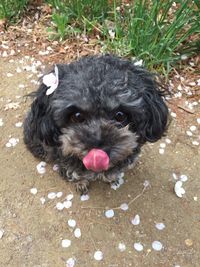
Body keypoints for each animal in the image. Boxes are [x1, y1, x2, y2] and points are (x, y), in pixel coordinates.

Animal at [23, 54, 168, 194]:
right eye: (77, 116)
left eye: (120, 116)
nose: (99, 149)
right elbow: (74, 173)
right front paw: (81, 183)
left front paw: (111, 178)